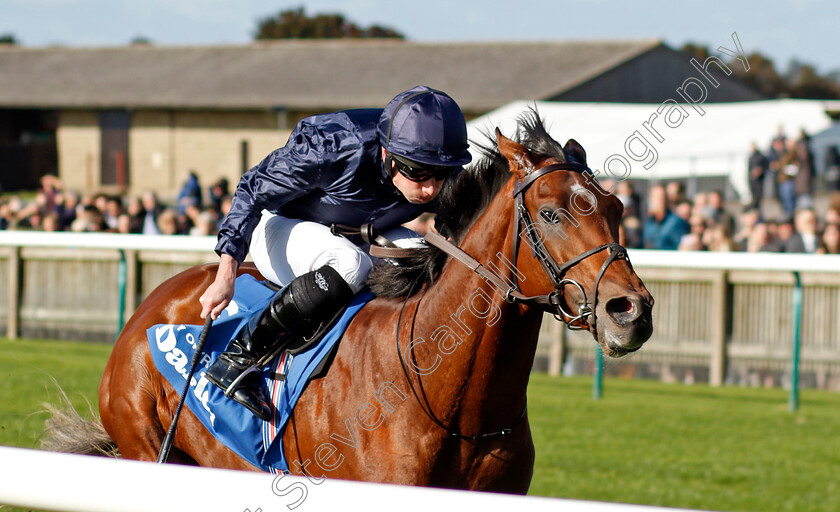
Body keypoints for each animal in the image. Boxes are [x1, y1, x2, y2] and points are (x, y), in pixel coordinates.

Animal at [57, 114, 656, 494]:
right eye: (552, 213)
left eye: (616, 206)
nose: (631, 311)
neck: (453, 401)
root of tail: (147, 309)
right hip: (146, 445)